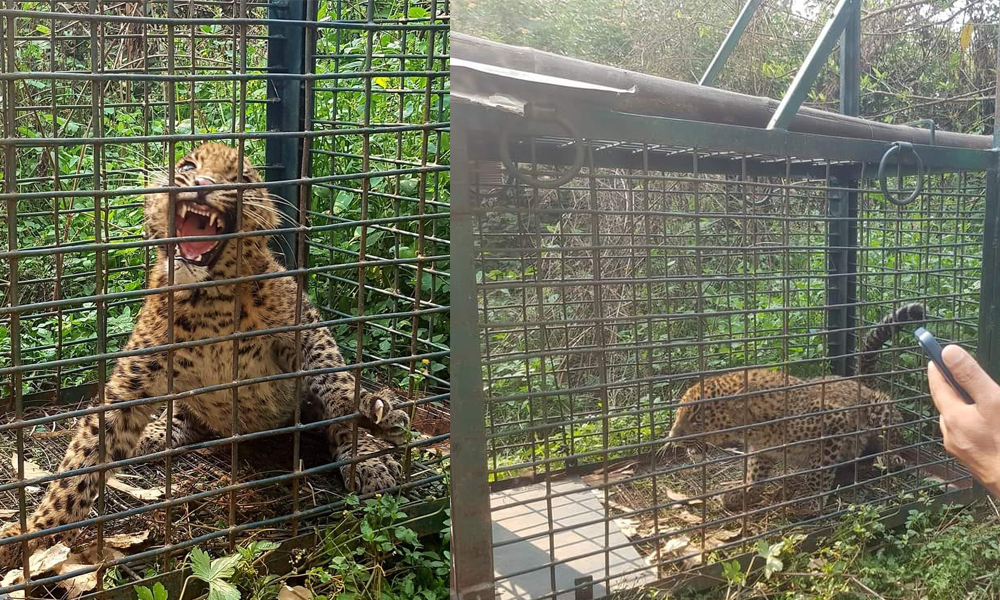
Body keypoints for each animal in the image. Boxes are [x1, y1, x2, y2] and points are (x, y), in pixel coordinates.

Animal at [0, 142, 412, 572]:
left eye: (241, 179)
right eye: (187, 166)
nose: (201, 184)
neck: (210, 300)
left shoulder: (305, 325)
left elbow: (335, 379)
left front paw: (368, 427)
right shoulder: (134, 378)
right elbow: (82, 461)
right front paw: (33, 533)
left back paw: (374, 446)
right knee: (183, 421)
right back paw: (153, 435)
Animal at [668, 304, 924, 510]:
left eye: (697, 419)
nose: (671, 438)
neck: (755, 427)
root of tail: (861, 383)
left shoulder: (833, 421)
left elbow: (819, 469)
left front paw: (812, 499)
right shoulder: (762, 450)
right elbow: (755, 474)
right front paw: (744, 494)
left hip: (880, 407)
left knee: (891, 438)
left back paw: (890, 459)